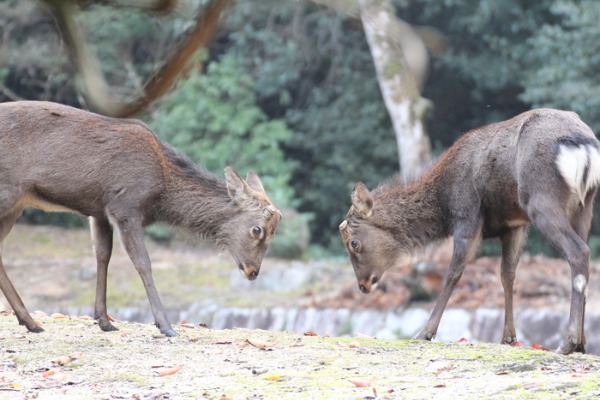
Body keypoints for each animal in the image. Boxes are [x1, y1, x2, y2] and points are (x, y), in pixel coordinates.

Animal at [0, 101, 282, 338]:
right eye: (257, 230)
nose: (253, 271)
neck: (161, 195)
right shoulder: (126, 205)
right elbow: (143, 262)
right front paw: (165, 326)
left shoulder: (99, 211)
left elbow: (102, 255)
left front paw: (103, 320)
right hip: (8, 194)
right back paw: (30, 320)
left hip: (15, 205)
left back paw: (30, 321)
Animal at [340, 108, 596, 354]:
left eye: (354, 243)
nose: (363, 285)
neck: (443, 203)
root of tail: (583, 145)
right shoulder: (514, 226)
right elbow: (507, 274)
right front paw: (508, 338)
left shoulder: (466, 214)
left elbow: (453, 273)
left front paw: (425, 332)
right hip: (584, 205)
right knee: (585, 253)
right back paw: (582, 344)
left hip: (541, 200)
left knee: (578, 251)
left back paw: (568, 343)